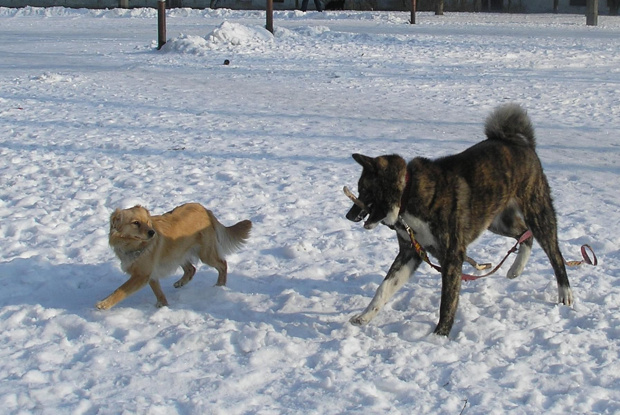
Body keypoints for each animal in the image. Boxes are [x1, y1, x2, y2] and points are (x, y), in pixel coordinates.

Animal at [95, 203, 251, 310]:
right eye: (136, 223)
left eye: (147, 222)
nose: (152, 232)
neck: (134, 245)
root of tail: (204, 209)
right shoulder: (150, 272)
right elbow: (157, 290)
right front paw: (162, 304)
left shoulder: (141, 275)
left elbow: (120, 290)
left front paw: (104, 303)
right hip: (177, 252)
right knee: (191, 268)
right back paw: (181, 282)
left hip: (205, 253)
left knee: (223, 264)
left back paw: (220, 285)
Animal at [344, 105, 572, 338]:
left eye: (364, 190)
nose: (349, 216)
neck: (409, 192)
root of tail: (519, 143)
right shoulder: (410, 252)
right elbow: (384, 288)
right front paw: (364, 316)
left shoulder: (452, 256)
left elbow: (447, 300)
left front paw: (440, 335)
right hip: (497, 221)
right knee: (525, 234)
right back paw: (516, 269)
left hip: (537, 211)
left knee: (555, 254)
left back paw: (565, 293)